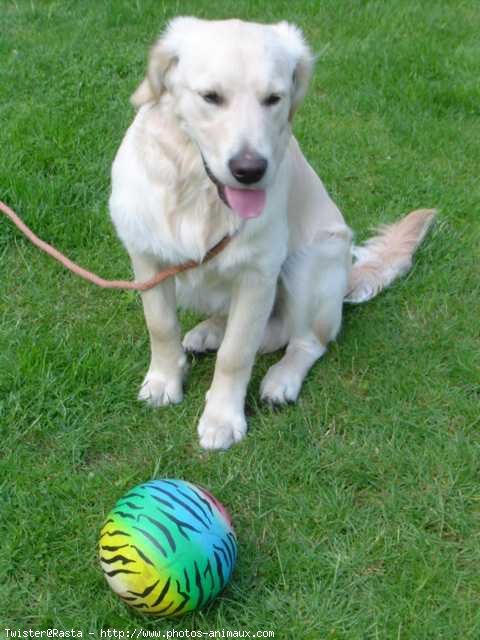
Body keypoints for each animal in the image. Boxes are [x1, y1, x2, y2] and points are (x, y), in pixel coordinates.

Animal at [109, 16, 436, 450]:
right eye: (211, 97)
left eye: (274, 99)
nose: (250, 169)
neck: (198, 194)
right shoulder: (147, 258)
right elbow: (160, 327)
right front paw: (164, 381)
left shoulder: (258, 276)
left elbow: (236, 354)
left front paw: (222, 418)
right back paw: (207, 332)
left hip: (309, 264)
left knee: (304, 341)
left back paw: (281, 379)